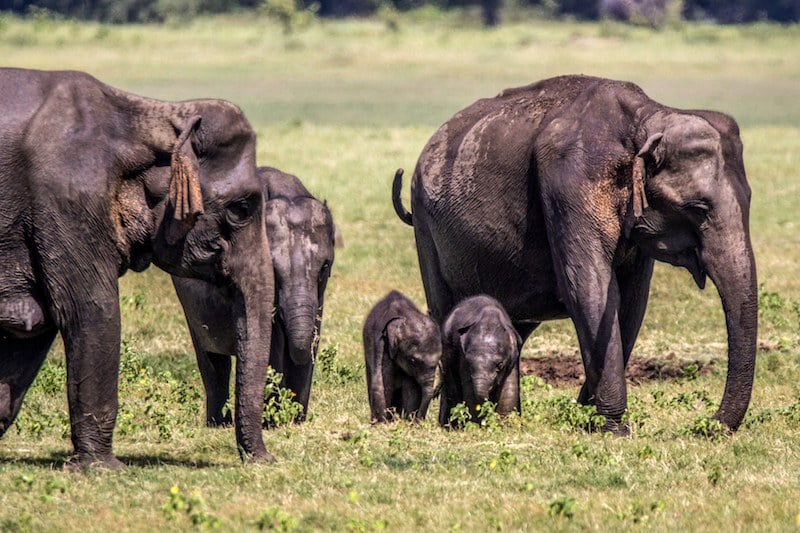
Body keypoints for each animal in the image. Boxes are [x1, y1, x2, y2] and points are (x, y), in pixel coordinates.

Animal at [0, 68, 276, 468]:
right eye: (241, 209)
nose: (265, 460)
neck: (151, 114)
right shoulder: (69, 202)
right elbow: (90, 311)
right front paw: (102, 468)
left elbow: (31, 326)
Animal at [173, 165, 336, 424]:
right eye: (273, 271)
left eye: (325, 267)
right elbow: (269, 347)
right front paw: (272, 422)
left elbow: (312, 338)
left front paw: (295, 420)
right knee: (213, 361)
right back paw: (219, 423)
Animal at [364, 288, 444, 422]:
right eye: (413, 361)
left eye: (439, 359)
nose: (419, 421)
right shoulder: (382, 344)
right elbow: (382, 383)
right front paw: (384, 422)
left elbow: (412, 388)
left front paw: (408, 421)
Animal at [438, 294, 524, 426]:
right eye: (469, 363)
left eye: (500, 365)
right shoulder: (462, 355)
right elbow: (469, 389)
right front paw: (477, 426)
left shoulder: (512, 358)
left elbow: (509, 388)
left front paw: (506, 426)